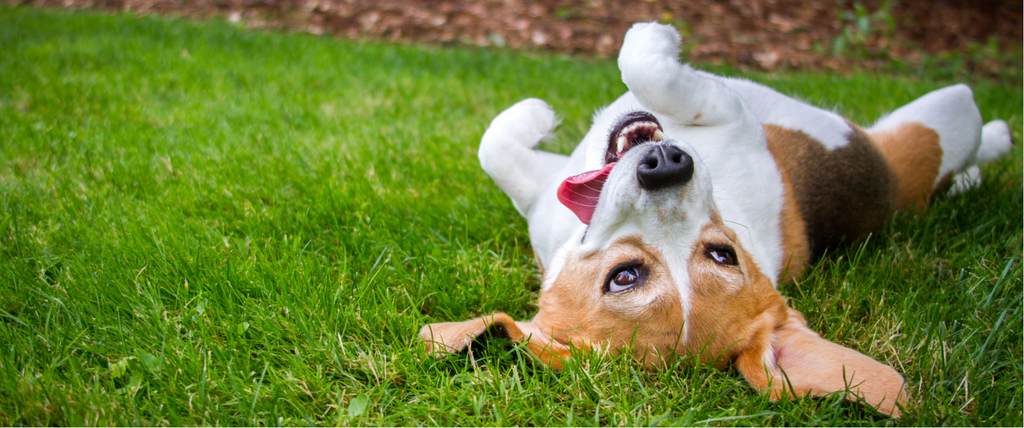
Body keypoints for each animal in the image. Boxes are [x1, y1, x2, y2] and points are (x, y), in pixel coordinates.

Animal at [417, 22, 1015, 417]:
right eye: (625, 277)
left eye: (721, 254)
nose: (666, 164)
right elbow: (637, 69)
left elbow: (500, 141)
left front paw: (539, 113)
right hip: (940, 117)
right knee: (968, 136)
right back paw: (994, 144)